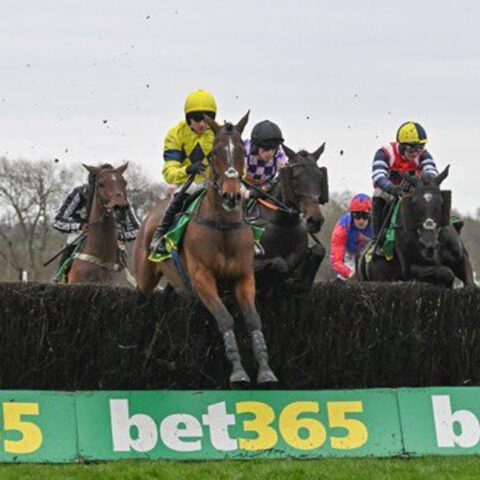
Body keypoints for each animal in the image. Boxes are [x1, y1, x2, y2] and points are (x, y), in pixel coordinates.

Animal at [133, 113, 280, 390]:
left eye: (242, 152)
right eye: (215, 154)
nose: (232, 196)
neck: (222, 226)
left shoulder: (244, 277)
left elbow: (253, 319)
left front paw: (266, 370)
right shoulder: (202, 278)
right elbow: (225, 318)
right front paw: (238, 372)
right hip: (145, 279)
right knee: (142, 305)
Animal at [249, 144, 328, 290]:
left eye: (320, 177)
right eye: (294, 178)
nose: (315, 220)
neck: (283, 224)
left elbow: (318, 250)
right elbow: (279, 263)